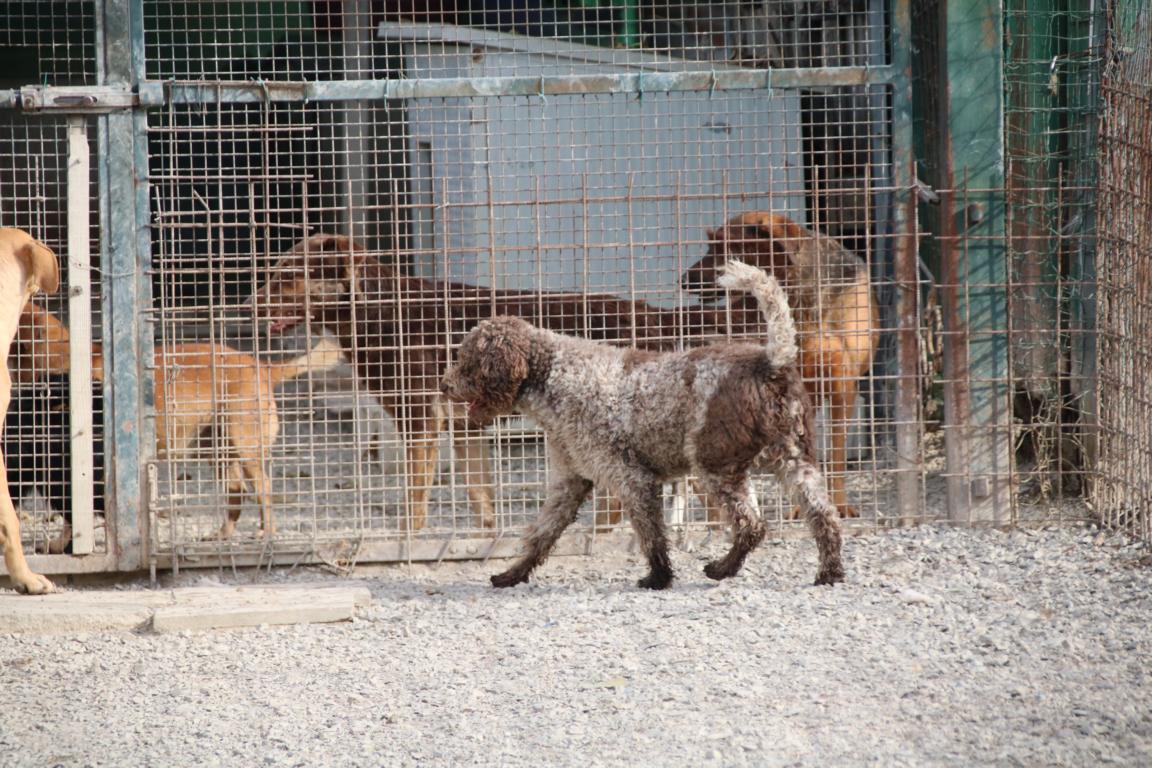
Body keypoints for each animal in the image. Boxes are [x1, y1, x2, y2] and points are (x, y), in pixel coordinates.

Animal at [11, 303, 342, 540]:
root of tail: (261, 367)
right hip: (216, 450)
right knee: (237, 492)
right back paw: (223, 535)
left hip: (246, 448)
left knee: (263, 489)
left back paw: (267, 533)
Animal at [248, 234, 765, 531]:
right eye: (273, 273)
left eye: (287, 276)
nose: (245, 304)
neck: (376, 307)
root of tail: (655, 314)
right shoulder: (463, 430)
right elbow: (481, 500)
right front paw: (487, 540)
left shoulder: (421, 425)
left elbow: (413, 507)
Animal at [440, 261, 845, 589]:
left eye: (466, 362)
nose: (443, 384)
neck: (555, 376)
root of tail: (771, 362)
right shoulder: (570, 481)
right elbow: (541, 536)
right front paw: (512, 574)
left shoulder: (631, 479)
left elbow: (651, 535)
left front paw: (658, 578)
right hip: (795, 462)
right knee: (823, 518)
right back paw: (828, 573)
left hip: (717, 466)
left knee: (751, 524)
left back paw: (721, 569)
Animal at [681, 212, 879, 519]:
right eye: (711, 245)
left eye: (724, 247)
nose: (683, 281)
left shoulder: (841, 386)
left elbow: (836, 455)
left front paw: (840, 504)